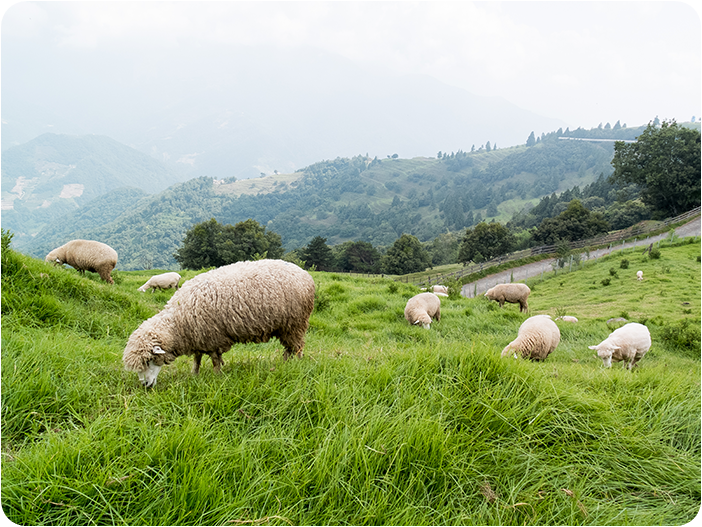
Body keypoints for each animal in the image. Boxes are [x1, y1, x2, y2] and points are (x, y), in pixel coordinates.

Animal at [124, 260, 316, 388]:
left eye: (149, 360)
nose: (145, 385)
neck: (178, 323)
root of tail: (305, 274)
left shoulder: (213, 338)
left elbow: (215, 361)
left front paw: (217, 377)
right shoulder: (198, 336)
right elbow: (197, 359)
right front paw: (194, 375)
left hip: (296, 323)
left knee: (298, 348)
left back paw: (296, 365)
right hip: (285, 327)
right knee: (289, 348)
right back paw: (285, 364)